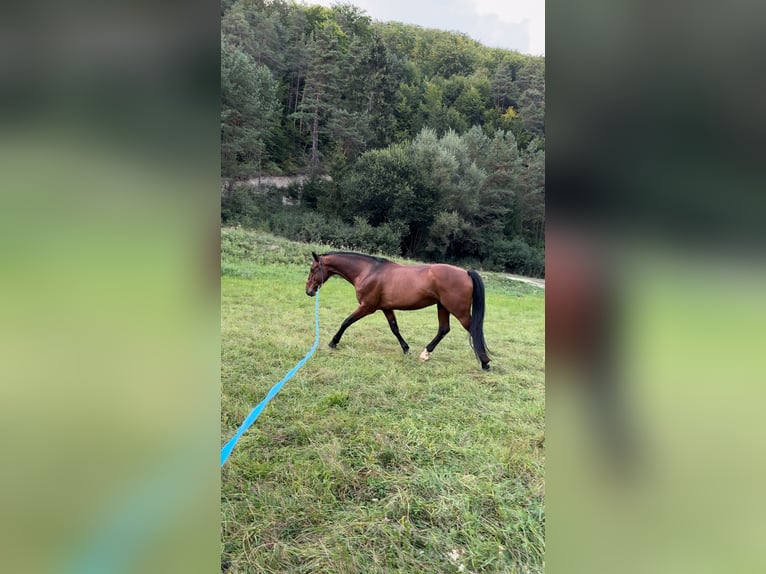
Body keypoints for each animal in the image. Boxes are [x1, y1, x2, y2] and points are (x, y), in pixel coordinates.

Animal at [306, 250, 492, 372]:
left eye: (313, 269)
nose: (309, 291)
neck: (368, 271)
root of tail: (466, 272)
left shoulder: (367, 307)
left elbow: (346, 321)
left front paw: (333, 342)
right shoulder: (387, 308)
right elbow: (395, 328)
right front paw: (406, 349)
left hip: (458, 311)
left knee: (473, 330)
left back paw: (485, 363)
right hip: (443, 307)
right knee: (443, 329)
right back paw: (425, 354)